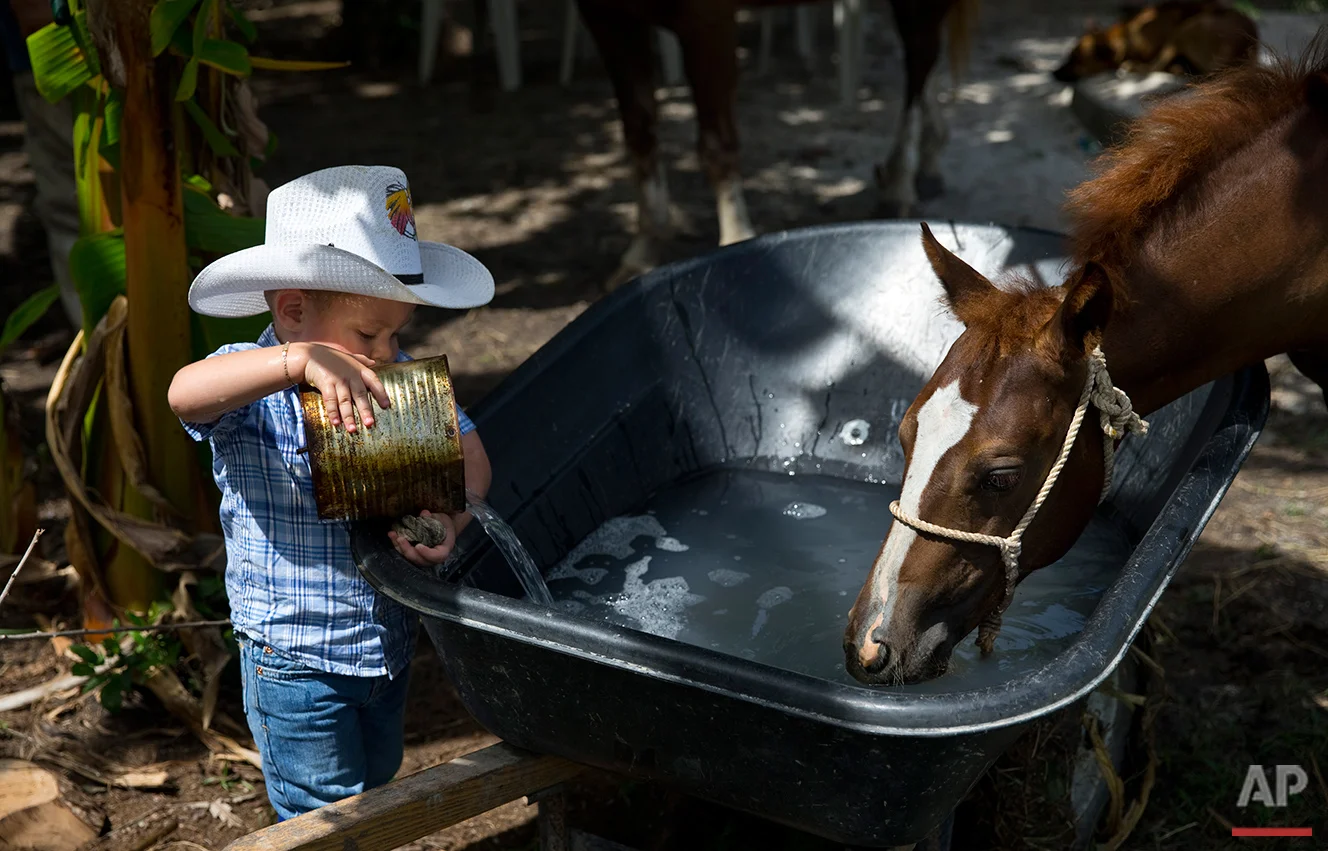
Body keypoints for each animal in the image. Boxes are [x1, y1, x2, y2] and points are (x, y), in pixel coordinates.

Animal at [576, 0, 982, 289]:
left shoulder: (707, 19)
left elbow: (715, 146)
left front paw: (735, 239)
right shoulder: (608, 18)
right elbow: (640, 133)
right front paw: (643, 248)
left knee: (919, 59)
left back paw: (900, 182)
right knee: (925, 63)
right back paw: (927, 159)